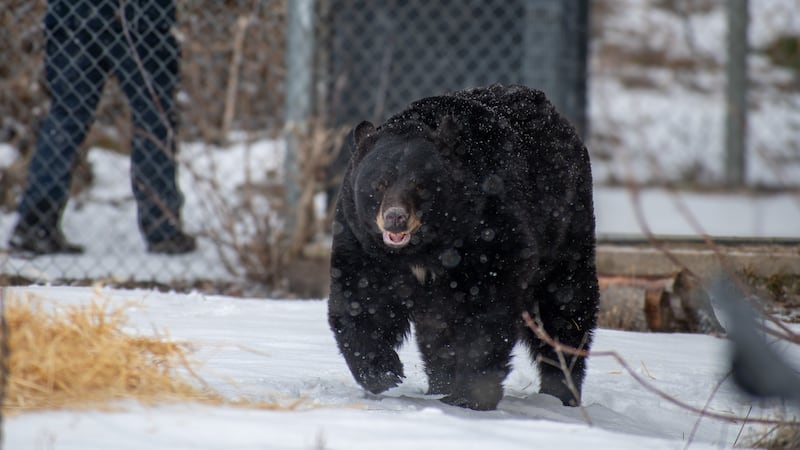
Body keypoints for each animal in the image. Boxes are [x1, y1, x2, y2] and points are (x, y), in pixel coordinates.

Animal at [328, 84, 599, 410]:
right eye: (379, 183)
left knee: (566, 309)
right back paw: (439, 385)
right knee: (436, 332)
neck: (426, 249)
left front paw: (471, 395)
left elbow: (486, 310)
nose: (395, 218)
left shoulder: (488, 233)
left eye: (420, 184)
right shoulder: (361, 239)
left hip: (567, 230)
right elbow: (361, 297)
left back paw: (561, 390)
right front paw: (383, 371)